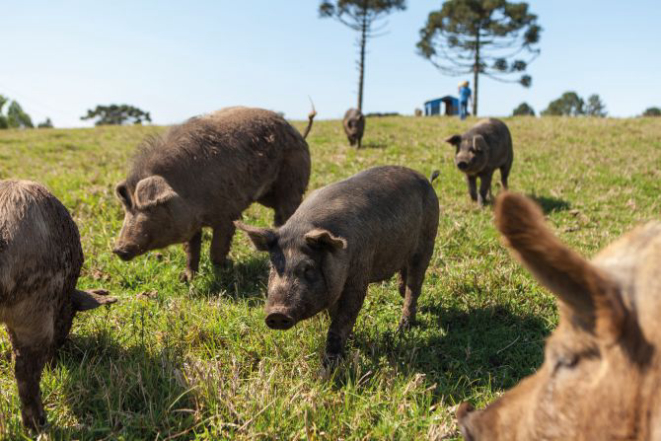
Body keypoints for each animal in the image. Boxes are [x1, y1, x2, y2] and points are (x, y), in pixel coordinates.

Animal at [113, 105, 314, 280]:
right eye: (127, 209)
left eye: (149, 208)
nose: (118, 249)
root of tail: (295, 130)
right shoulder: (192, 224)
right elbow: (192, 250)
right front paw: (186, 278)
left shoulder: (228, 214)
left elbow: (216, 250)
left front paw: (227, 269)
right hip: (267, 195)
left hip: (292, 182)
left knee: (289, 210)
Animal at [236, 165, 438, 364]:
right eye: (273, 266)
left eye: (308, 268)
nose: (277, 313)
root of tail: (425, 179)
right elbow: (335, 315)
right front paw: (351, 343)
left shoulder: (359, 273)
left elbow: (344, 317)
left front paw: (330, 366)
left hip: (428, 241)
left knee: (414, 286)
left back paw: (403, 327)